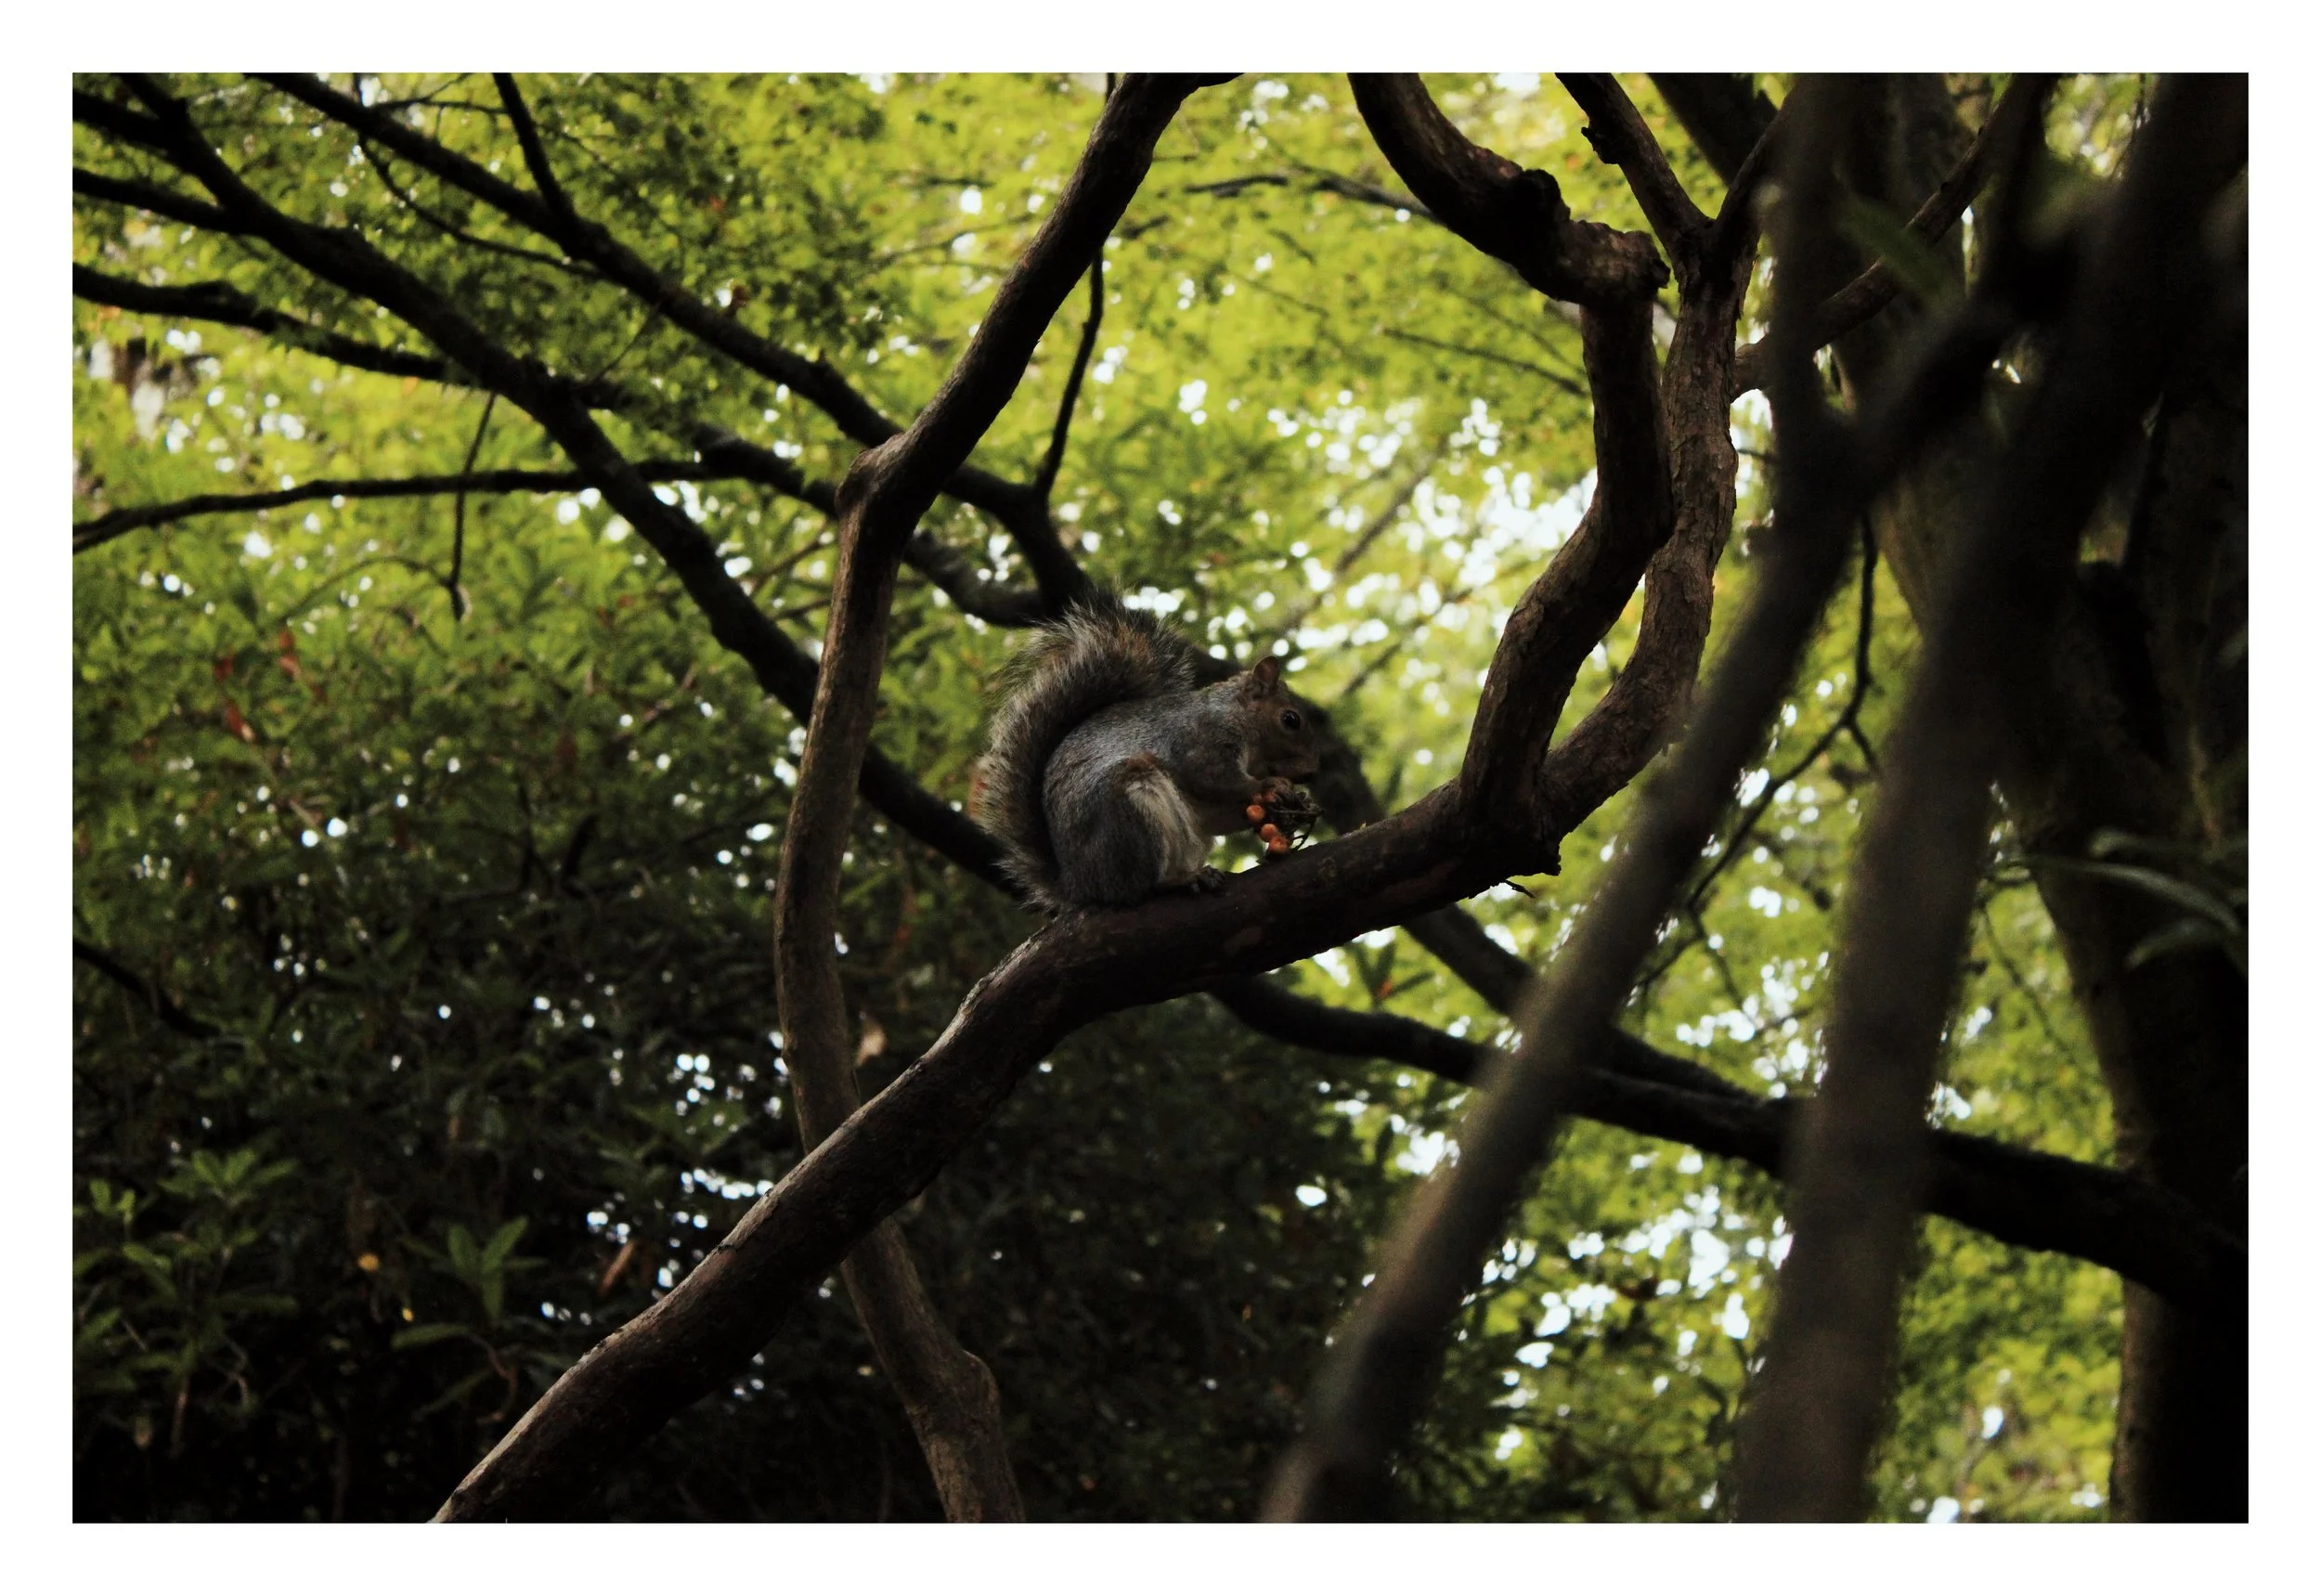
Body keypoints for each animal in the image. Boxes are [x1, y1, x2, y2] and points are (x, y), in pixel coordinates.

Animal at [971, 595, 1323, 911]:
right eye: (1291, 720)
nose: (1311, 771)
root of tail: (1079, 884)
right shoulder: (1200, 740)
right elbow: (1214, 778)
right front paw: (1271, 786)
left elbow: (1220, 813)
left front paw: (1296, 804)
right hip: (1129, 814)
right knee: (1141, 886)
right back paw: (1178, 880)